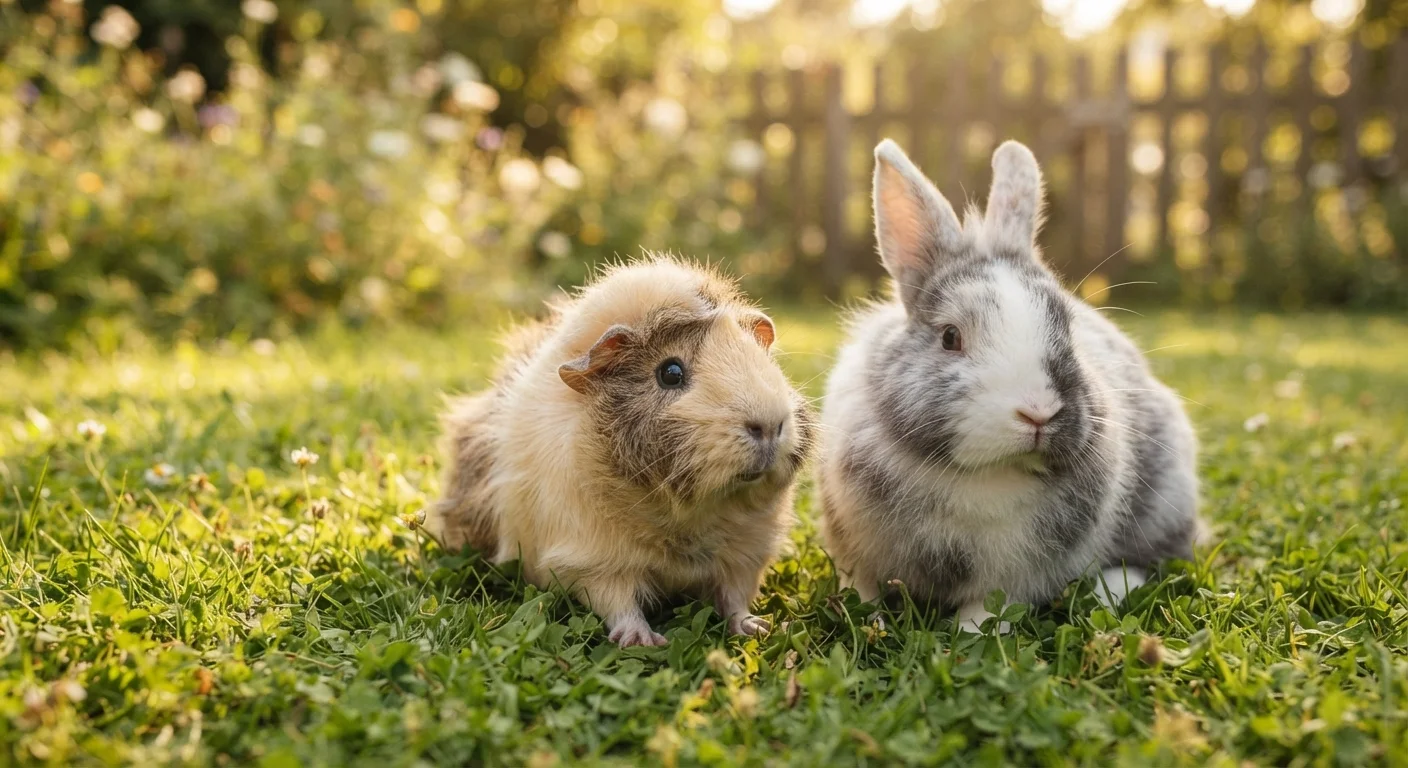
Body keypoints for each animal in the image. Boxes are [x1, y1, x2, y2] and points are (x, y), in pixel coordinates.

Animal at [426, 256, 816, 646]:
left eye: (757, 357)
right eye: (670, 373)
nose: (769, 424)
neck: (685, 517)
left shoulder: (747, 554)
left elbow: (735, 598)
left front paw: (759, 628)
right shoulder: (591, 560)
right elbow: (619, 602)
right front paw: (643, 641)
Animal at [817, 138, 1204, 633]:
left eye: (1067, 326)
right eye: (950, 337)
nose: (1037, 412)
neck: (986, 474)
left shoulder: (1020, 572)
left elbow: (990, 605)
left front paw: (967, 635)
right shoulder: (852, 543)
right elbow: (860, 583)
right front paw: (864, 618)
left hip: (1166, 499)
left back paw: (1106, 592)